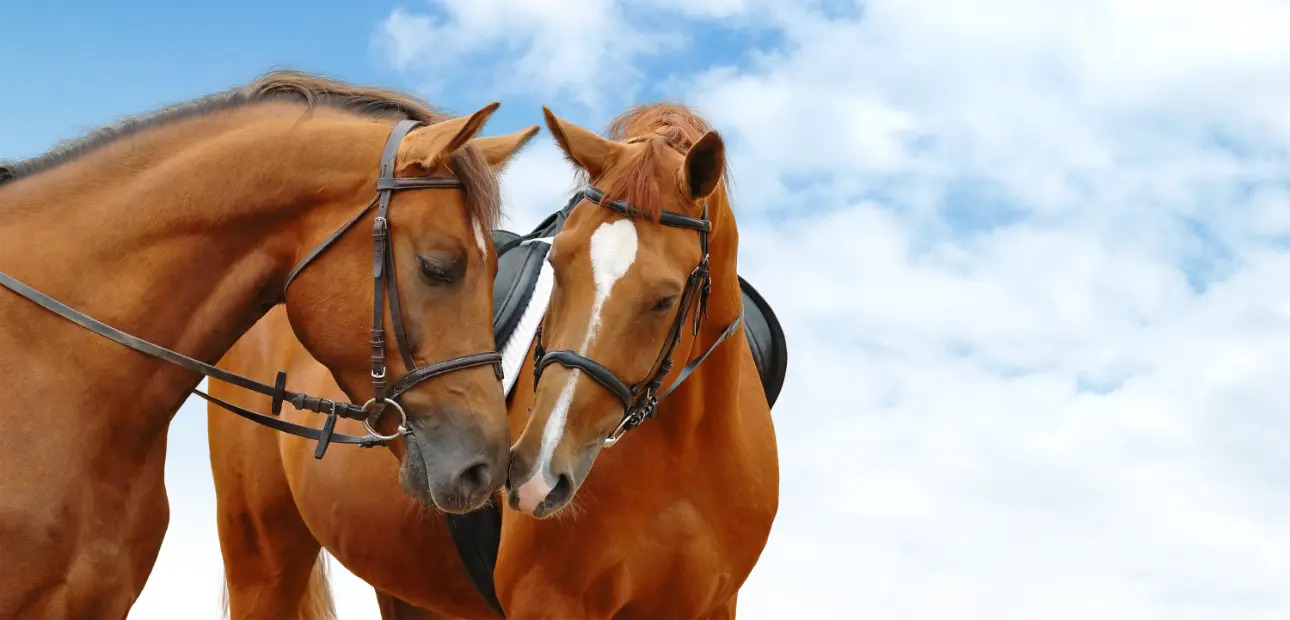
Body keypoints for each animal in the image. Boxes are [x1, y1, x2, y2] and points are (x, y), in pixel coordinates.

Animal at [205, 99, 779, 616]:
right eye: (558, 262)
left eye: (664, 299)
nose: (536, 474)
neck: (683, 451)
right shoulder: (549, 603)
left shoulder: (714, 605)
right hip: (262, 556)